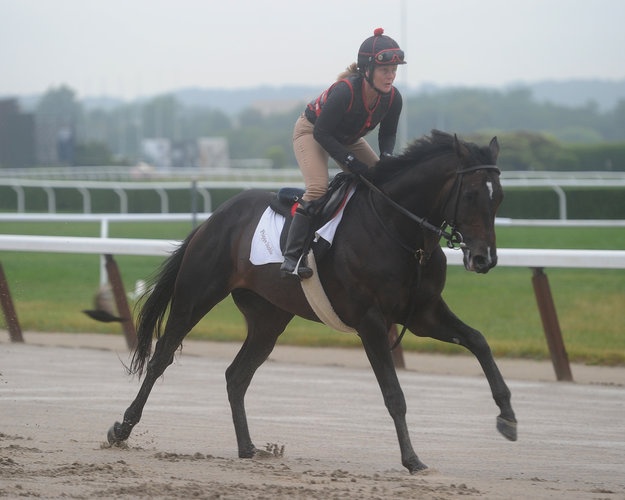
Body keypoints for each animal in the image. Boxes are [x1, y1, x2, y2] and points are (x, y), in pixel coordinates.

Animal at [107, 129, 516, 472]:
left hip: (268, 317)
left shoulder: (423, 313)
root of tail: (214, 218)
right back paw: (122, 428)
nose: (484, 258)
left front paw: (508, 416)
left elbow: (479, 341)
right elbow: (393, 393)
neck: (398, 231)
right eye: (471, 194)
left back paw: (248, 447)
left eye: (500, 196)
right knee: (161, 357)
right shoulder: (370, 320)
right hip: (196, 294)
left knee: (236, 375)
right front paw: (412, 459)